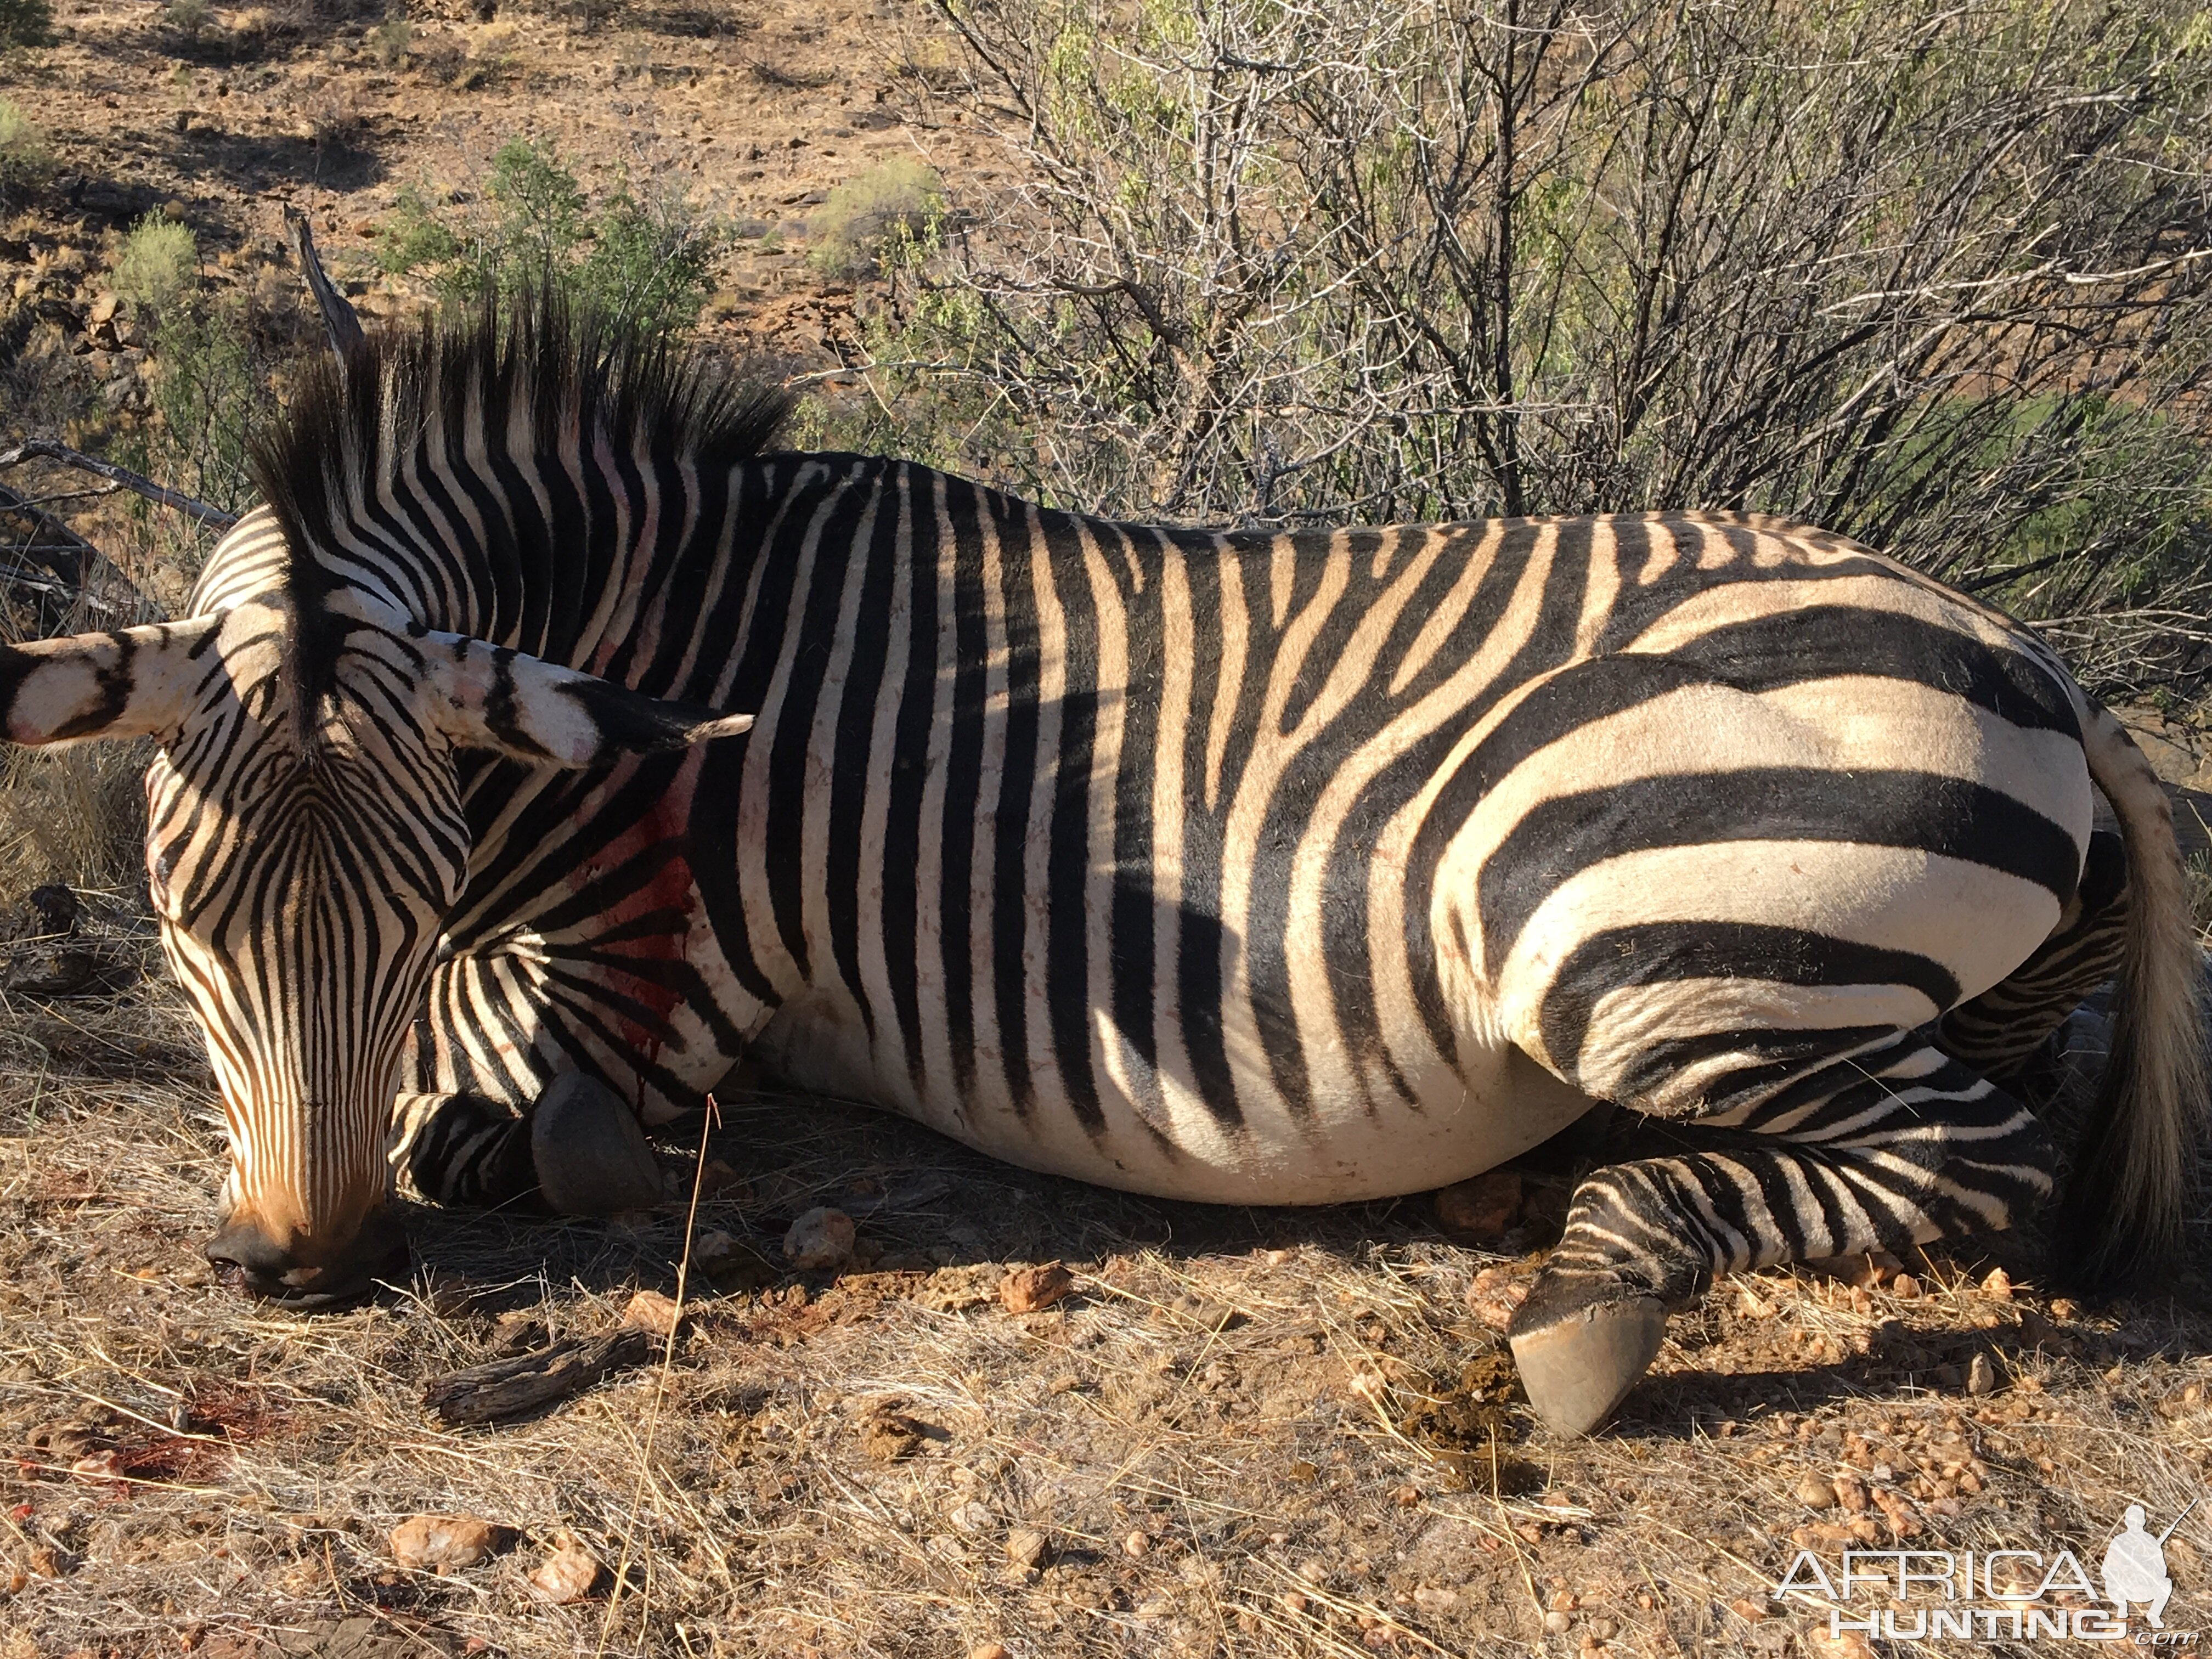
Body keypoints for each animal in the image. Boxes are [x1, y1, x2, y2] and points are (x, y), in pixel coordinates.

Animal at [0, 303, 2194, 1442]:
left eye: (404, 910)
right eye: (187, 923)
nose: (302, 1265)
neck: (669, 639)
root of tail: (2034, 660)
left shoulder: (662, 981)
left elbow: (502, 1127)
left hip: (1612, 913)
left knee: (1971, 1156)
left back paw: (1588, 1295)